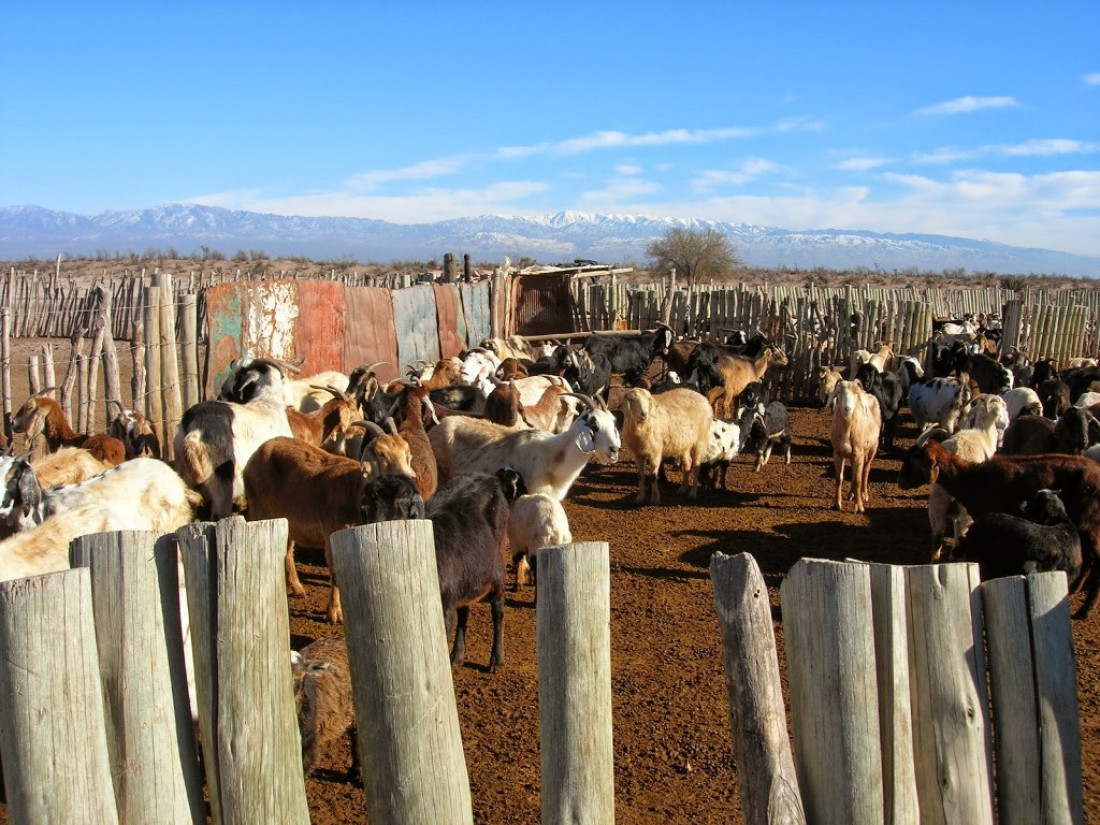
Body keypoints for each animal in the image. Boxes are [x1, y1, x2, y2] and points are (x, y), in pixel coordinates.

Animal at [827, 382, 880, 514]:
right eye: (839, 392)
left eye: (856, 394)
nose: (847, 409)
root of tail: (868, 394)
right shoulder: (838, 454)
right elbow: (839, 478)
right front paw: (837, 504)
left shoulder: (859, 454)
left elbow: (858, 480)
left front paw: (859, 506)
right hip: (853, 454)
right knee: (854, 473)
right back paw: (851, 494)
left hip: (872, 448)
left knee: (865, 470)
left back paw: (864, 494)